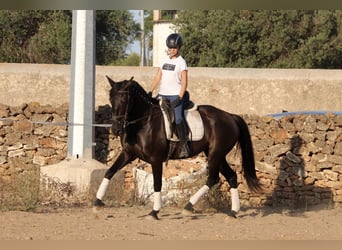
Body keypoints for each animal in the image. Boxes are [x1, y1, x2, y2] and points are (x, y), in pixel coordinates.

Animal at [94, 75, 262, 219]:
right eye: (110, 99)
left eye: (125, 99)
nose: (115, 129)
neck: (142, 123)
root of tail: (230, 116)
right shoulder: (128, 154)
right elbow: (109, 172)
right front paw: (97, 202)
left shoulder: (155, 159)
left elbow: (157, 183)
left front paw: (154, 211)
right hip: (215, 154)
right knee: (231, 176)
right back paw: (233, 212)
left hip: (216, 154)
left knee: (213, 178)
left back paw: (188, 206)